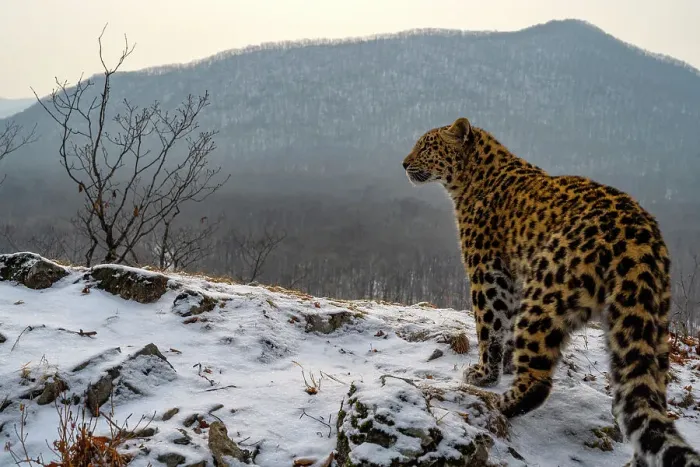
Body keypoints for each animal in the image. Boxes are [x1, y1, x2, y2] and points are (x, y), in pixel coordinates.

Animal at [402, 117, 700, 467]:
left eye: (426, 146)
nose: (404, 163)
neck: (468, 180)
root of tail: (640, 241)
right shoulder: (514, 278)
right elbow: (505, 328)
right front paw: (506, 364)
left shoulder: (488, 273)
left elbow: (490, 326)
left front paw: (485, 373)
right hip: (647, 321)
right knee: (647, 399)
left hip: (546, 293)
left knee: (539, 379)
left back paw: (499, 404)